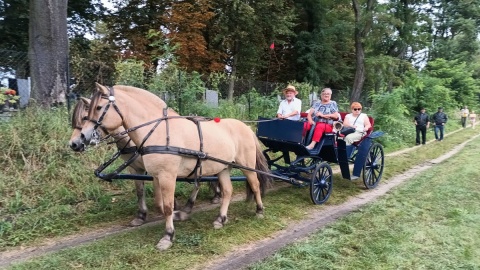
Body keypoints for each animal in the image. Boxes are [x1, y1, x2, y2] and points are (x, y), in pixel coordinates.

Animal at [68, 97, 221, 226]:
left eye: (85, 117)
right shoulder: (135, 169)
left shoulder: (158, 171)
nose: (73, 144)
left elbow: (159, 198)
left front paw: (174, 209)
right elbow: (140, 191)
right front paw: (141, 216)